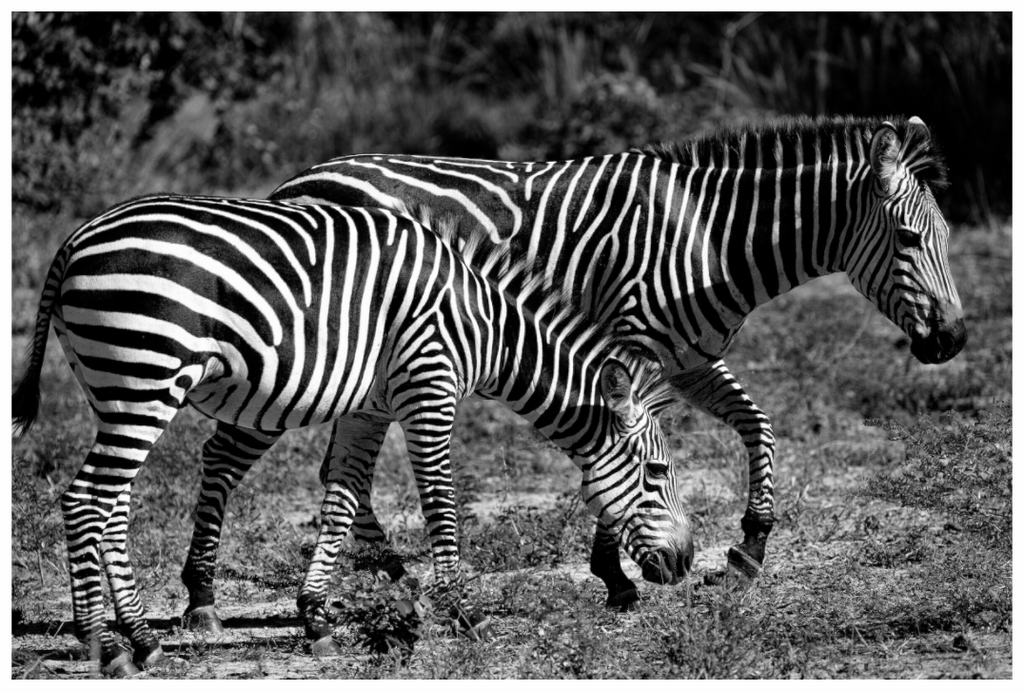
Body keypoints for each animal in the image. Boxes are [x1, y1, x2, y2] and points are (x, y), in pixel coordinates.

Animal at [12, 195, 692, 675]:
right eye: (658, 474)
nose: (685, 565)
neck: (484, 326)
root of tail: (76, 238)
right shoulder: (429, 387)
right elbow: (441, 502)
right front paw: (463, 611)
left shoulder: (370, 407)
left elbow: (340, 501)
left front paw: (316, 619)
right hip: (147, 375)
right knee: (85, 500)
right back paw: (106, 645)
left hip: (120, 391)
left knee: (112, 505)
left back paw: (141, 637)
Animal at [259, 114, 967, 597]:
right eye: (909, 238)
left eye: (947, 236)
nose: (954, 340)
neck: (710, 239)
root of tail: (296, 181)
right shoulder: (631, 344)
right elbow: (618, 449)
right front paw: (616, 573)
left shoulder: (689, 359)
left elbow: (758, 426)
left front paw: (750, 546)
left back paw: (389, 570)